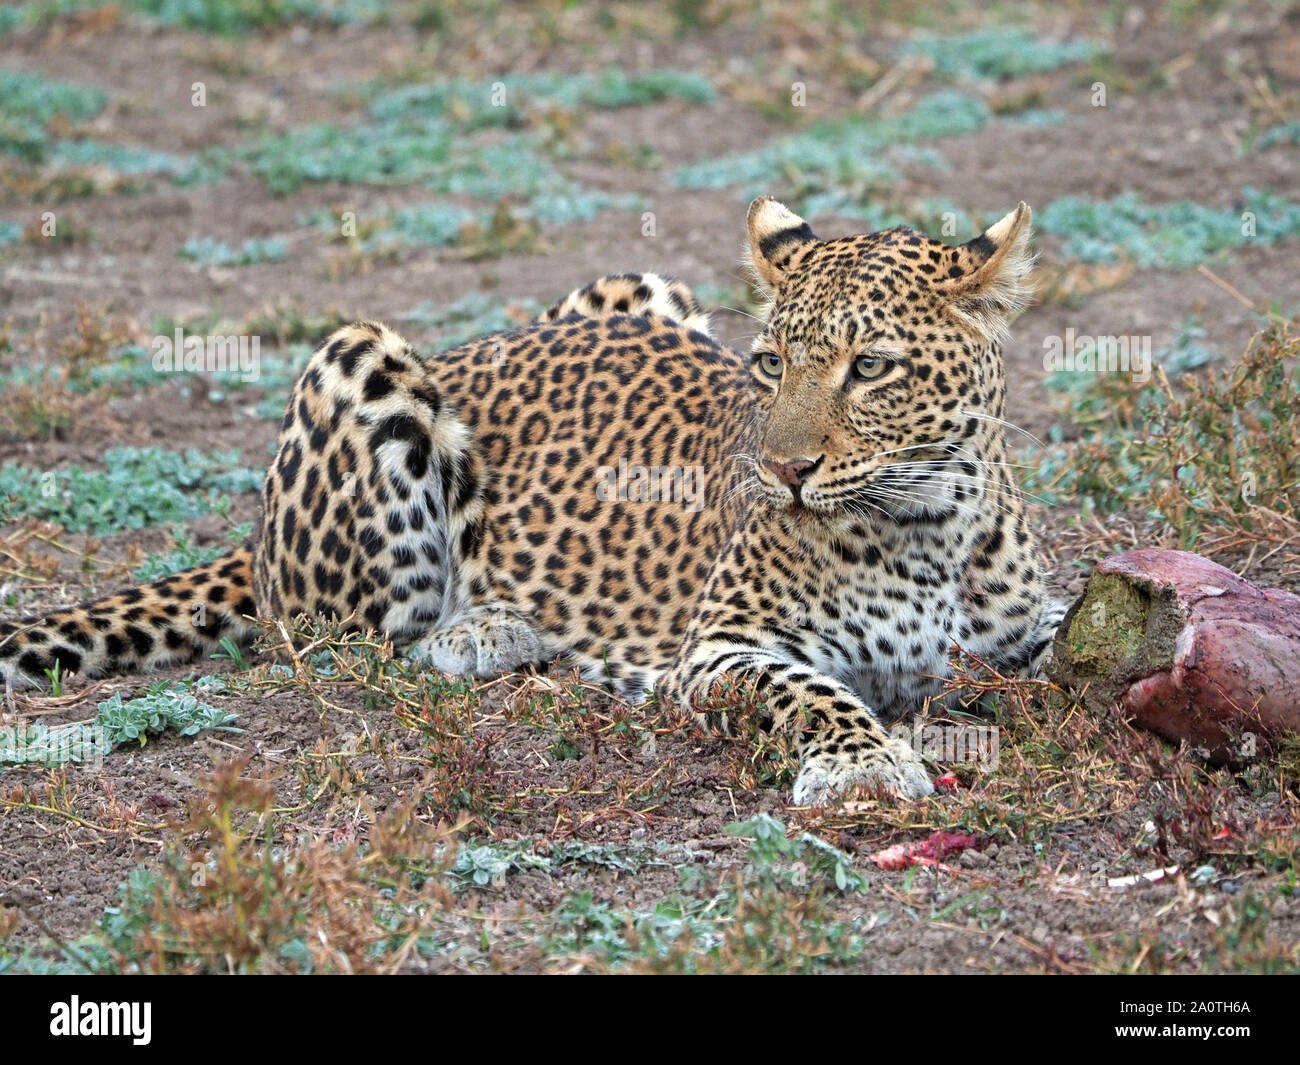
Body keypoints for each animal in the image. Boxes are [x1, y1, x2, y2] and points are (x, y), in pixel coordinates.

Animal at [0, 197, 1066, 806]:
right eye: (771, 365)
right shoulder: (721, 648)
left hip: (639, 286)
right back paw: (487, 630)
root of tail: (476, 345)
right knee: (338, 638)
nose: (785, 470)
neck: (926, 526)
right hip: (361, 358)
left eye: (870, 368)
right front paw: (862, 763)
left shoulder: (1028, 636)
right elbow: (811, 692)